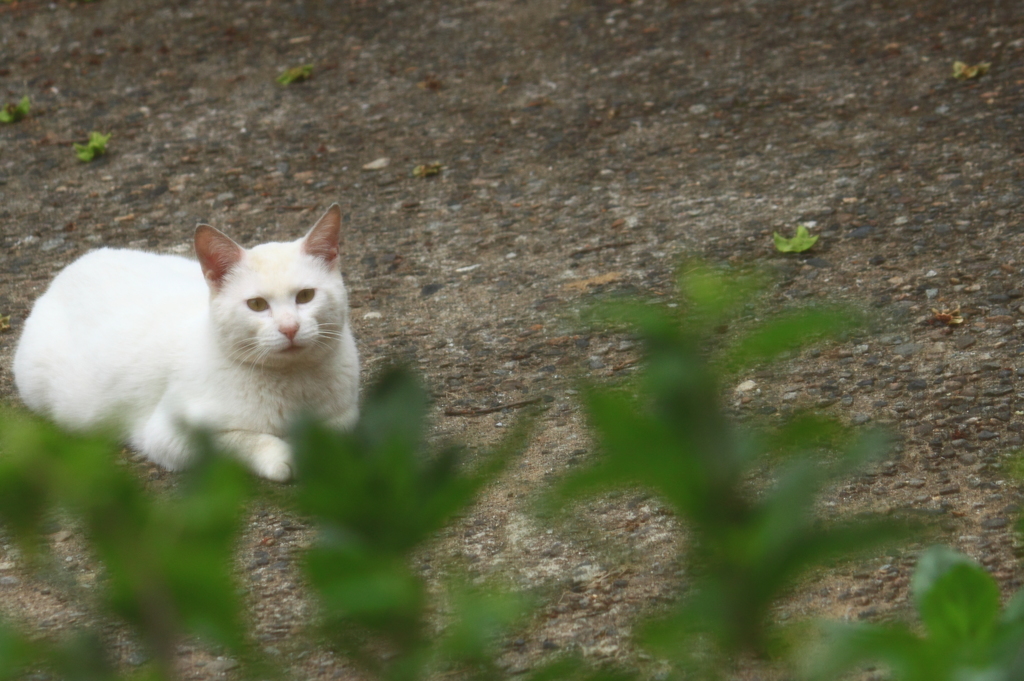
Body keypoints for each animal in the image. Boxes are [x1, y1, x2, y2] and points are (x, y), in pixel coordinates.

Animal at [12, 204, 360, 481]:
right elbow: (244, 440)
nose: (289, 328)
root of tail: (79, 261)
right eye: (257, 305)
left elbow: (341, 427)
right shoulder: (168, 436)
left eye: (306, 296)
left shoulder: (349, 411)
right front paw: (285, 456)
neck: (292, 382)